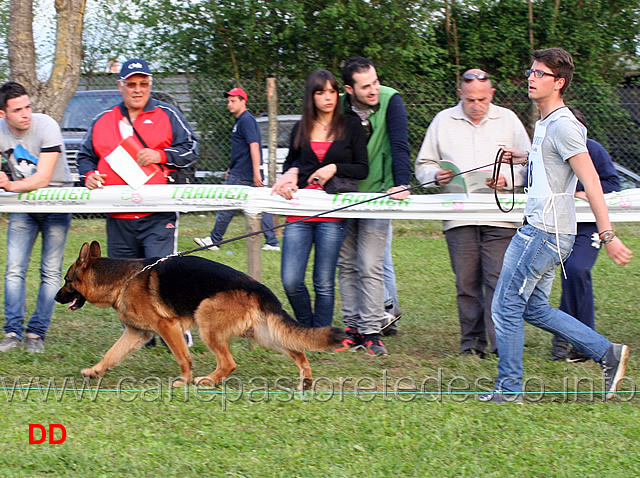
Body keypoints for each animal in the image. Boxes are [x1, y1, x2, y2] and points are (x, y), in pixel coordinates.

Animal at [55, 243, 344, 388]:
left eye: (67, 280)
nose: (56, 297)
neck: (123, 279)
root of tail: (259, 289)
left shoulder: (167, 327)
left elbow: (183, 357)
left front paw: (184, 380)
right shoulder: (137, 334)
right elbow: (111, 355)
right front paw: (94, 372)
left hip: (207, 321)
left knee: (229, 363)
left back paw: (207, 381)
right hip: (265, 336)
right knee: (298, 350)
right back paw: (306, 379)